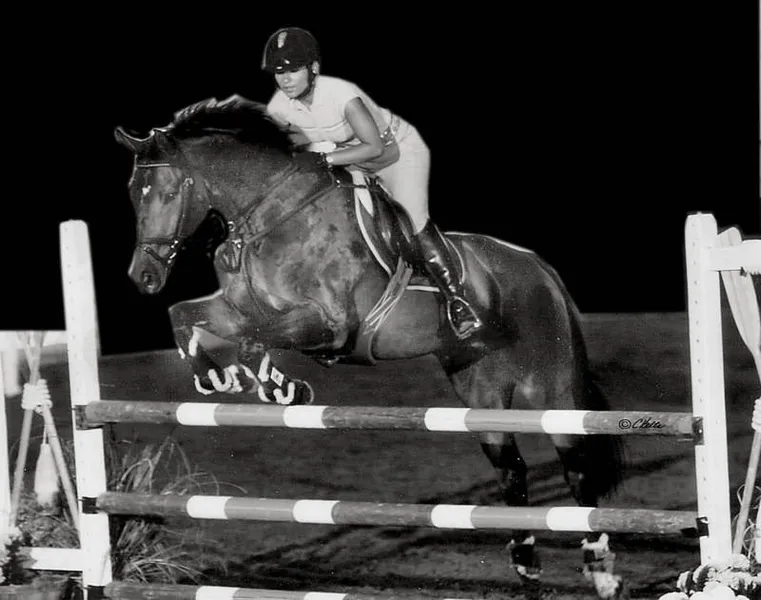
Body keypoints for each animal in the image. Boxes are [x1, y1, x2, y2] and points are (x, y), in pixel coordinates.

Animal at [111, 96, 624, 596]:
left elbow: (256, 342)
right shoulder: (238, 309)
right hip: (480, 389)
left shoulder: (331, 323)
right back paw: (526, 563)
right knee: (510, 467)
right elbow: (184, 317)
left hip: (550, 389)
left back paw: (601, 571)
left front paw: (276, 385)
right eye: (134, 194)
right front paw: (219, 377)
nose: (143, 276)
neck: (269, 219)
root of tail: (539, 267)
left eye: (169, 193)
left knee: (575, 465)